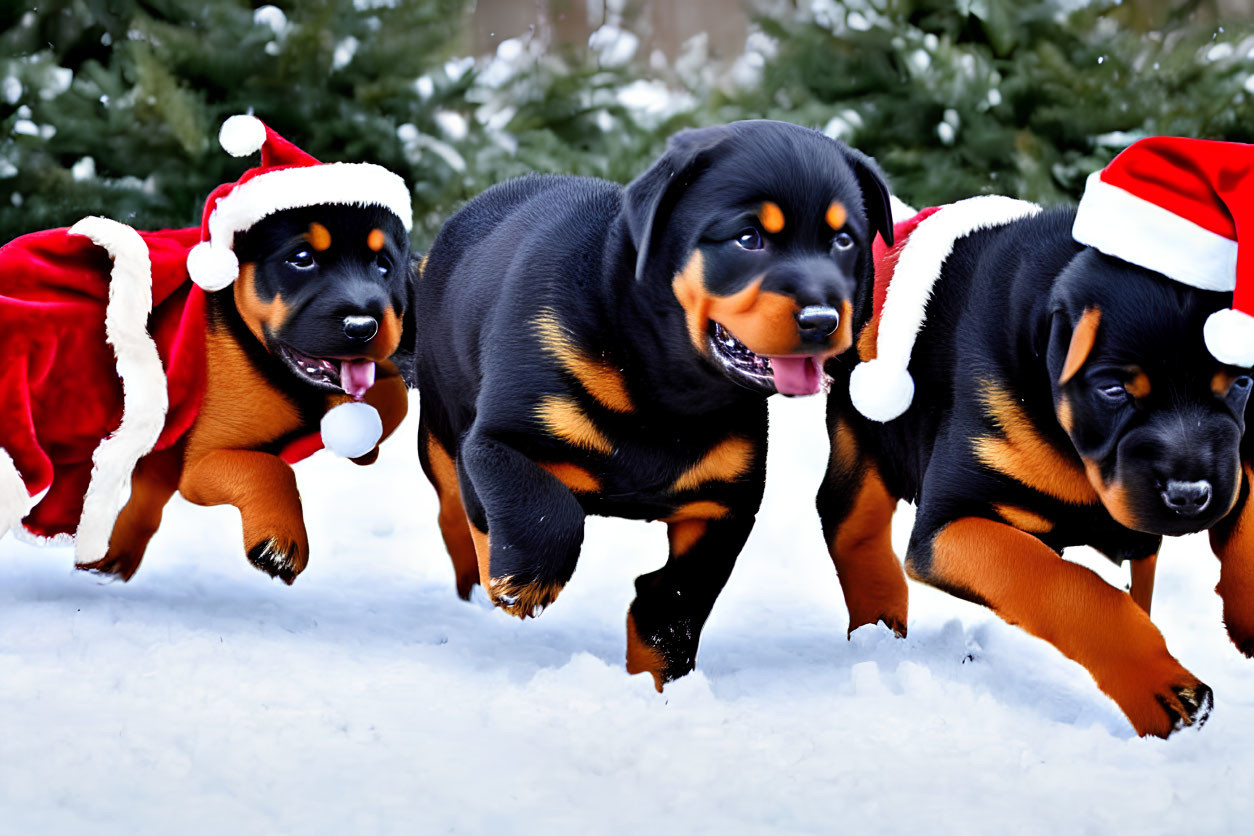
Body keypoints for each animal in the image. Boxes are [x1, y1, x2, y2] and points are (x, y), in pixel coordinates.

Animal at [87, 203, 411, 581]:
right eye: (301, 258)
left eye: (384, 265)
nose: (363, 327)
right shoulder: (201, 462)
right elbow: (265, 466)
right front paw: (279, 543)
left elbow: (396, 394)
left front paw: (360, 442)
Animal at [408, 120, 892, 691]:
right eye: (748, 238)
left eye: (843, 240)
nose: (822, 319)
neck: (664, 379)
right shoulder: (499, 439)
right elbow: (539, 506)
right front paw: (525, 580)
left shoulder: (724, 502)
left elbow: (681, 595)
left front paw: (659, 676)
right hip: (442, 425)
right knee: (458, 508)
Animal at [817, 198, 1248, 736]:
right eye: (1112, 389)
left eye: (1241, 383)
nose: (1190, 496)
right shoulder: (951, 524)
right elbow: (1069, 584)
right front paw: (1163, 689)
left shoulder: (1234, 464)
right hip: (865, 431)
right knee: (852, 523)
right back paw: (879, 629)